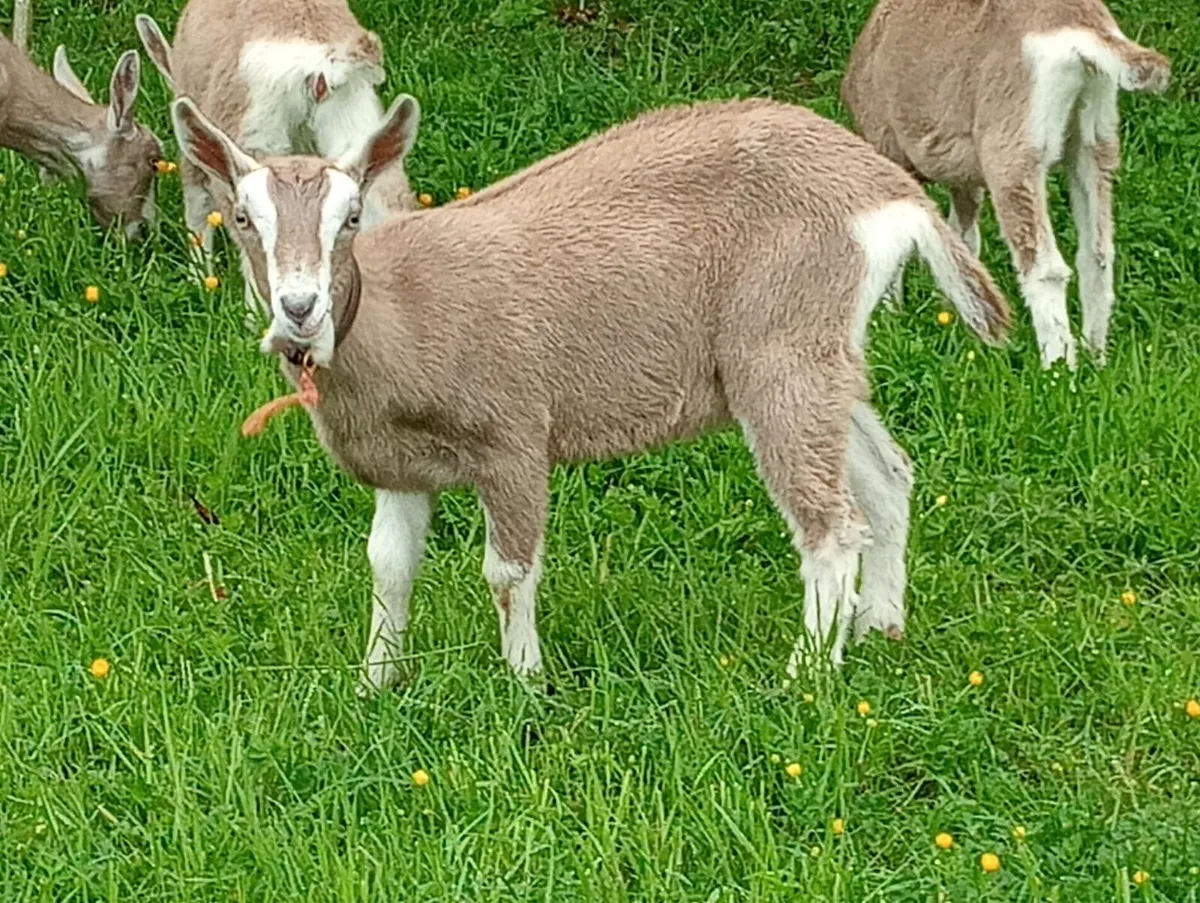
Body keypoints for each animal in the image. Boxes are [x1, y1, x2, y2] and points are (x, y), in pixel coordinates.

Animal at [171, 93, 1012, 692]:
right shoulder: (401, 467)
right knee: (887, 477)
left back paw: (805, 674)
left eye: (349, 218)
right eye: (243, 217)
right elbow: (388, 566)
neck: (397, 311)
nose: (299, 307)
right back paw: (882, 627)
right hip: (824, 353)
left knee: (831, 524)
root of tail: (888, 191)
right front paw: (376, 684)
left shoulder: (512, 437)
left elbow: (507, 572)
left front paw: (526, 684)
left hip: (780, 352)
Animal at [842, 0, 1170, 369]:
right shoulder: (963, 172)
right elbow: (963, 240)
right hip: (1094, 137)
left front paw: (890, 318)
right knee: (1096, 254)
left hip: (1014, 151)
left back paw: (1058, 370)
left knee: (1045, 267)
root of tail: (1082, 30)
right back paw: (1095, 359)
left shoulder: (887, 148)